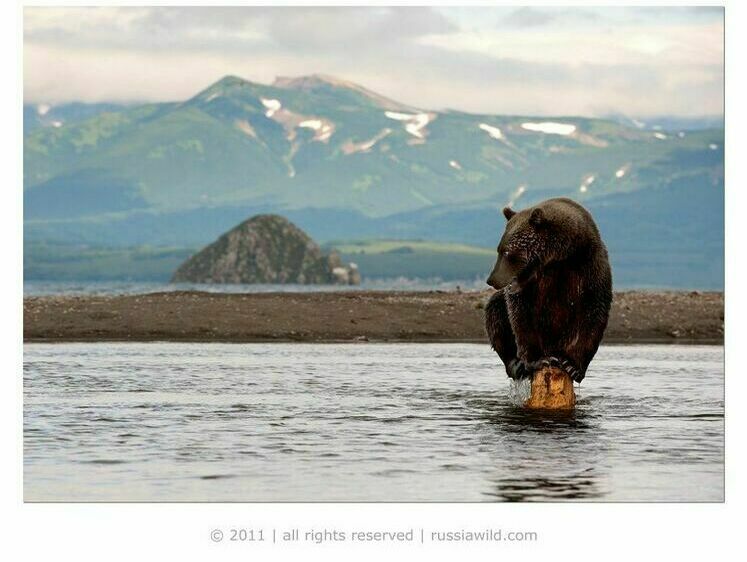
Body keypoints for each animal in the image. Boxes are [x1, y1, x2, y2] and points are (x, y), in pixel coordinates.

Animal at [486, 195, 612, 382]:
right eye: (499, 250)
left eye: (507, 252)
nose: (491, 279)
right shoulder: (530, 287)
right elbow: (521, 316)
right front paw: (539, 360)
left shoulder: (589, 267)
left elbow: (593, 313)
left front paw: (572, 365)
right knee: (495, 313)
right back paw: (516, 365)